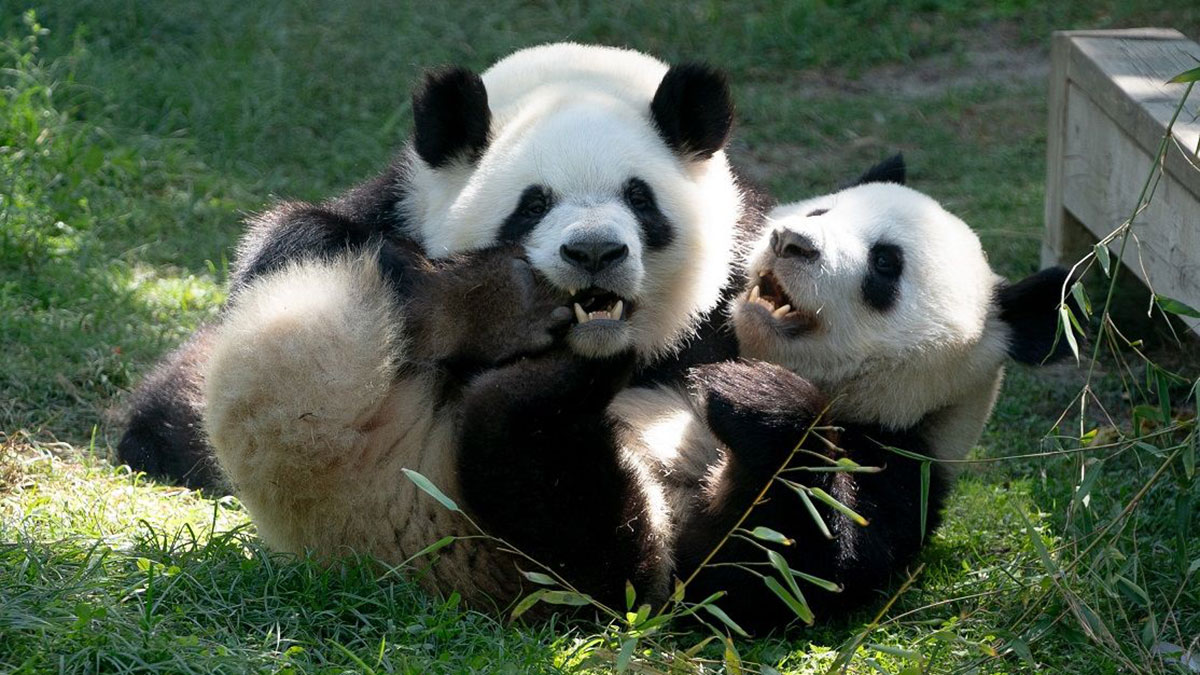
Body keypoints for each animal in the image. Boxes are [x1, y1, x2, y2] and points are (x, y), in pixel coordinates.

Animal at [180, 43, 757, 613]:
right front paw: (496, 305)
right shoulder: (388, 209)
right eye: (534, 204)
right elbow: (297, 240)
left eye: (639, 197)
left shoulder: (736, 285)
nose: (593, 251)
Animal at [605, 158, 1076, 631]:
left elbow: (764, 573)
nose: (791, 241)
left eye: (885, 262)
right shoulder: (693, 335)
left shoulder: (903, 470)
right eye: (820, 213)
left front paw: (758, 397)